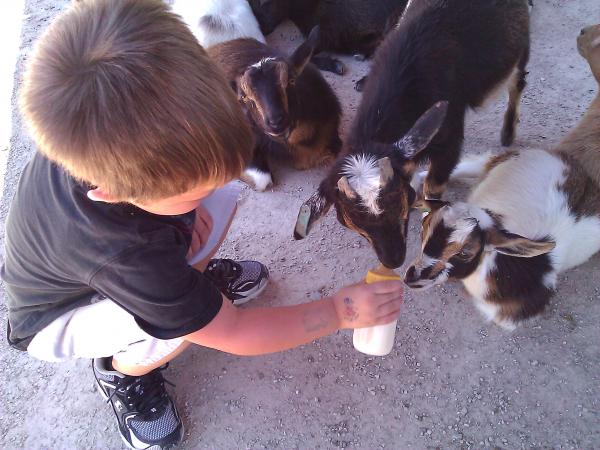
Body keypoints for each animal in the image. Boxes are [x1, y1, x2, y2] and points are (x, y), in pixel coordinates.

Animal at [292, 0, 528, 268]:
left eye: (400, 200)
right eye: (350, 221)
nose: (393, 261)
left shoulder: (449, 140)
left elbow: (434, 186)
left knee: (517, 81)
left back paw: (508, 132)